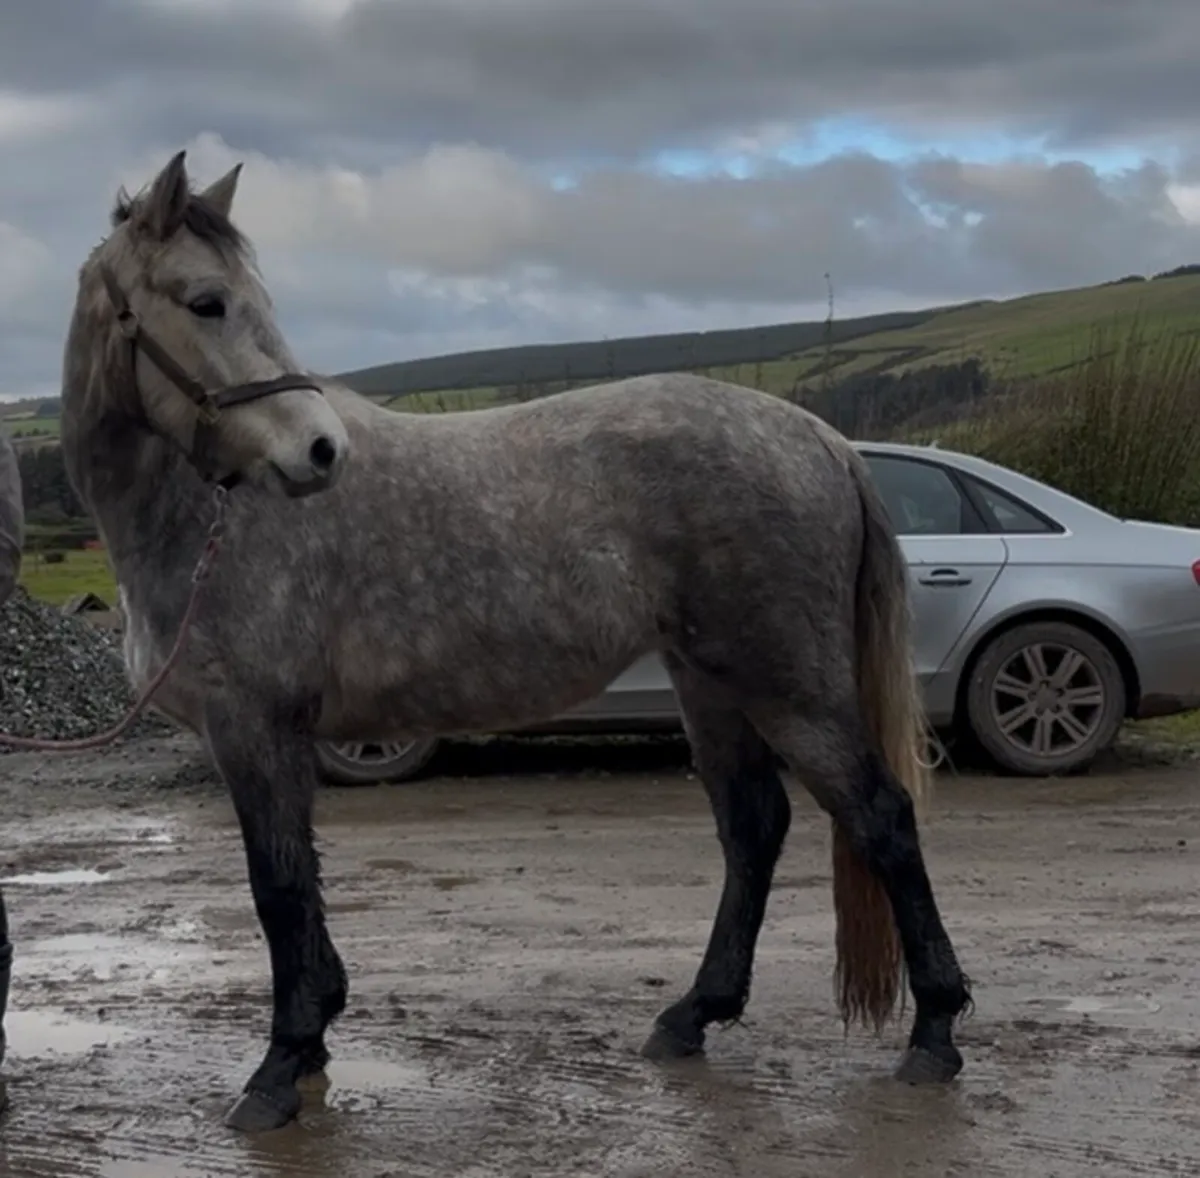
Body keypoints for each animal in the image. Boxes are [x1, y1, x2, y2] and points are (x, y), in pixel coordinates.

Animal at [58, 150, 972, 1133]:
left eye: (240, 298)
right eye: (206, 302)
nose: (320, 452)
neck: (205, 522)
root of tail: (821, 437)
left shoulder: (255, 728)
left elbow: (279, 889)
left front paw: (278, 1069)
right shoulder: (276, 737)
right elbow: (299, 884)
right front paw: (313, 1044)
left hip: (787, 686)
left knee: (880, 818)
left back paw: (934, 1035)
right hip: (710, 682)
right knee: (753, 828)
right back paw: (693, 1015)